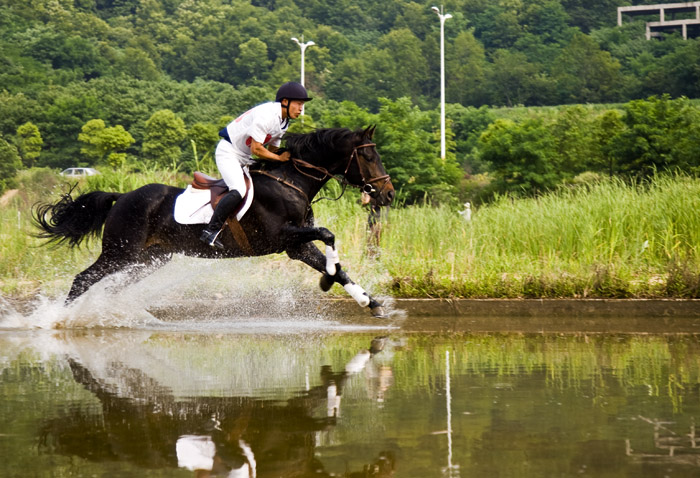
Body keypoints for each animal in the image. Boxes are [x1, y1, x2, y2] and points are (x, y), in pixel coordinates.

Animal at [34, 125, 394, 316]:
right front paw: (328, 281)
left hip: (147, 260)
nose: (388, 193)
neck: (290, 181)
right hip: (119, 252)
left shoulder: (298, 246)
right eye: (367, 156)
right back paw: (58, 320)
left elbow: (336, 263)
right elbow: (328, 234)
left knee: (108, 285)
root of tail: (121, 197)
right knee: (83, 279)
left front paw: (369, 301)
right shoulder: (282, 236)